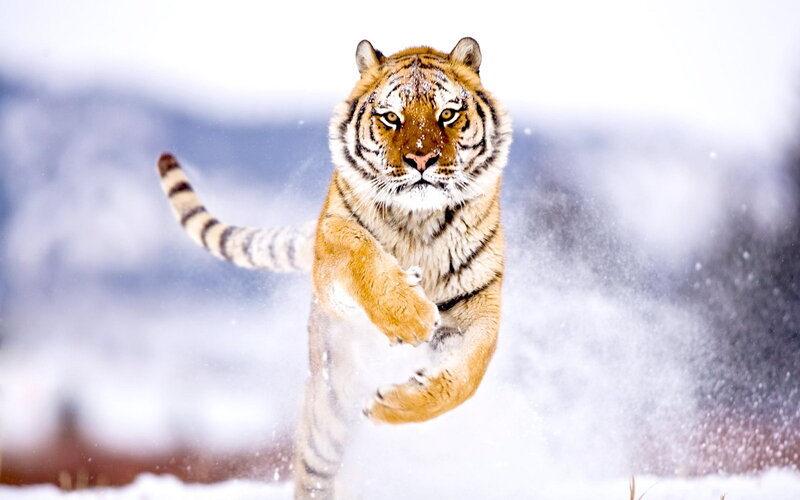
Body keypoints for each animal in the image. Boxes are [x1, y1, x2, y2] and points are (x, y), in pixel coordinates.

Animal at [156, 37, 511, 499]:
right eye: (391, 117)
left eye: (447, 114)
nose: (421, 160)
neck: (419, 221)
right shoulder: (331, 250)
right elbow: (359, 251)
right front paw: (411, 315)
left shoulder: (478, 305)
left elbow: (465, 378)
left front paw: (392, 403)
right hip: (329, 406)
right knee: (314, 471)